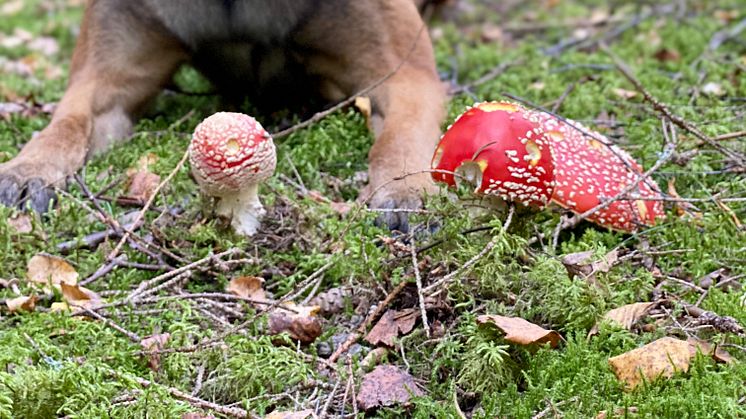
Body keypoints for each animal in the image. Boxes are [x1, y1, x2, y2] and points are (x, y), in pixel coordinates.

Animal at [0, 0, 442, 231]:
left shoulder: (404, 76)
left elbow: (397, 138)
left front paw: (407, 190)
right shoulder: (103, 78)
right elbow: (66, 124)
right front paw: (28, 169)